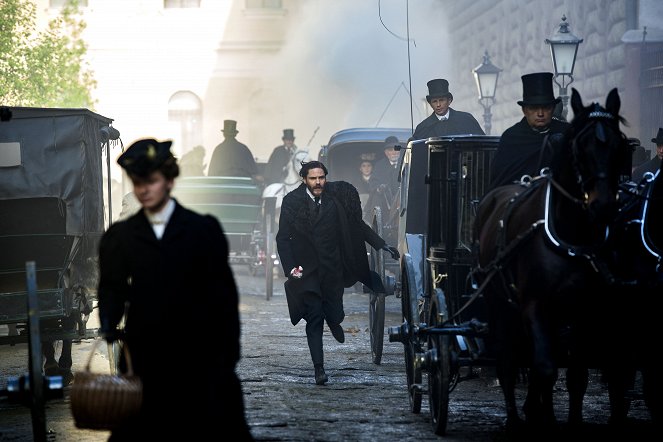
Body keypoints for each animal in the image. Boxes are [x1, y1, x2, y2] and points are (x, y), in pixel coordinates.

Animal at [472, 87, 632, 432]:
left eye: (619, 144)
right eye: (580, 146)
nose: (602, 206)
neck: (573, 237)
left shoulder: (586, 311)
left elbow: (576, 374)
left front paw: (566, 419)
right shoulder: (535, 305)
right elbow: (545, 367)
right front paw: (535, 412)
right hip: (501, 304)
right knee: (508, 359)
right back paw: (514, 417)